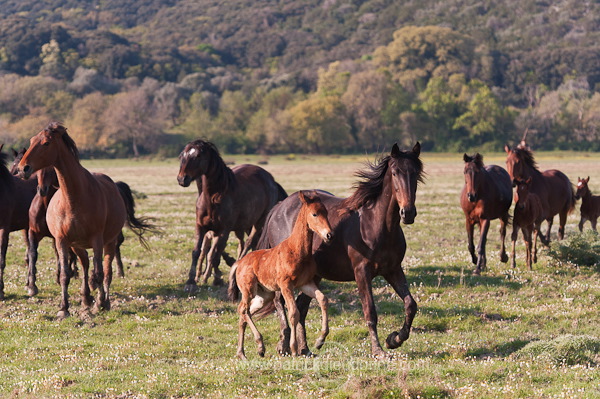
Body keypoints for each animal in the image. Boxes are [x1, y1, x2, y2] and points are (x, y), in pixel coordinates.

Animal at [17, 122, 155, 318]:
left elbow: (99, 273)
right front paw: (64, 308)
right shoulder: (62, 241)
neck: (73, 199)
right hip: (77, 245)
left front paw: (100, 303)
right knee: (85, 265)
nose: (23, 168)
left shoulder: (97, 240)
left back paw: (103, 301)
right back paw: (85, 298)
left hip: (109, 242)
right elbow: (65, 274)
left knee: (106, 271)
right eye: (31, 141)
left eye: (46, 143)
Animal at [177, 139, 288, 290]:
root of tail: (270, 179)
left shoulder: (223, 231)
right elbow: (197, 252)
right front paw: (191, 281)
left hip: (259, 223)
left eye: (198, 156)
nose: (182, 179)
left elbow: (215, 255)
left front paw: (216, 279)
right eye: (183, 154)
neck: (213, 197)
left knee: (248, 243)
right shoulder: (201, 227)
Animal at [229, 191, 336, 360]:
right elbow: (293, 312)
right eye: (314, 214)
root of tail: (239, 263)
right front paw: (293, 348)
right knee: (243, 310)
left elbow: (322, 299)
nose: (329, 235)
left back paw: (244, 352)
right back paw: (258, 345)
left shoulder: (305, 283)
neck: (297, 250)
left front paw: (320, 340)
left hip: (263, 296)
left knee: (245, 313)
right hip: (249, 290)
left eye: (326, 212)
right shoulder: (286, 285)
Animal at [258, 144, 422, 360]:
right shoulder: (362, 272)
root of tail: (278, 208)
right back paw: (284, 345)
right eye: (395, 172)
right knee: (280, 302)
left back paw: (305, 348)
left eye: (416, 173)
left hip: (313, 276)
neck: (375, 225)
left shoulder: (393, 270)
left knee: (301, 307)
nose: (408, 213)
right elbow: (370, 311)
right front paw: (378, 349)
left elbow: (410, 305)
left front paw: (394, 339)